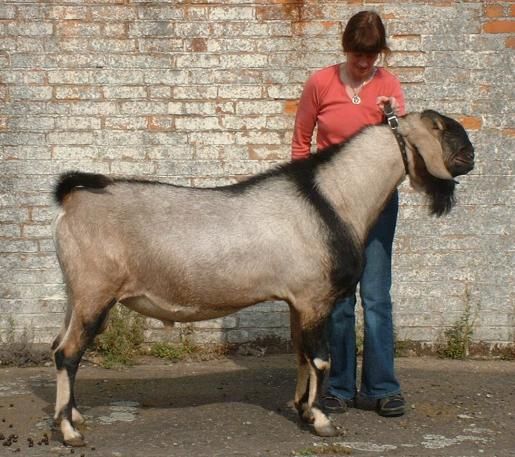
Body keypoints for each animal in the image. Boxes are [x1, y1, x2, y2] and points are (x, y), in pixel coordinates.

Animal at [50, 110, 474, 446]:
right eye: (440, 127)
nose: (471, 155)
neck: (332, 197)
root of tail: (73, 200)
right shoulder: (315, 297)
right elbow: (321, 358)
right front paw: (322, 421)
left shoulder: (298, 300)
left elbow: (301, 355)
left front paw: (302, 409)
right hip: (94, 292)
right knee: (67, 352)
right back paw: (69, 431)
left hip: (76, 294)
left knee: (60, 346)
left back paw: (73, 415)